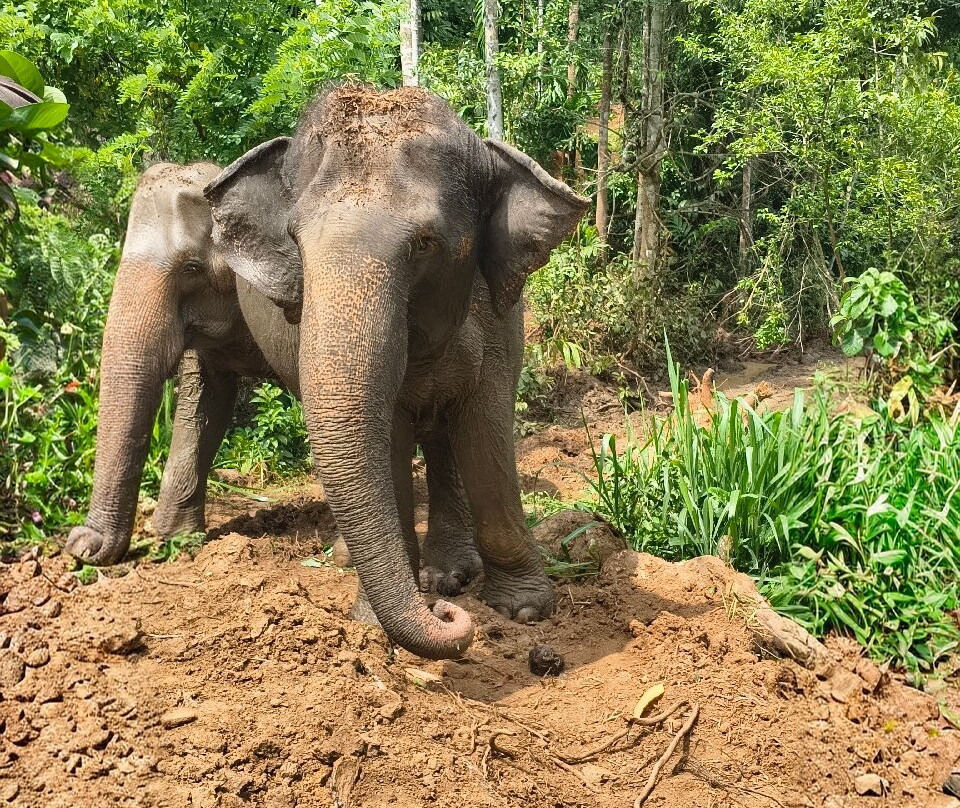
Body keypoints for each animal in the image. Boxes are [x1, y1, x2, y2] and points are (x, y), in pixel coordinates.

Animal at [204, 85, 589, 659]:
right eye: (295, 240)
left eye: (425, 242)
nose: (448, 617)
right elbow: (389, 439)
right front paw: (374, 620)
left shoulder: (500, 315)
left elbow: (485, 428)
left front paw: (524, 609)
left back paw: (447, 576)